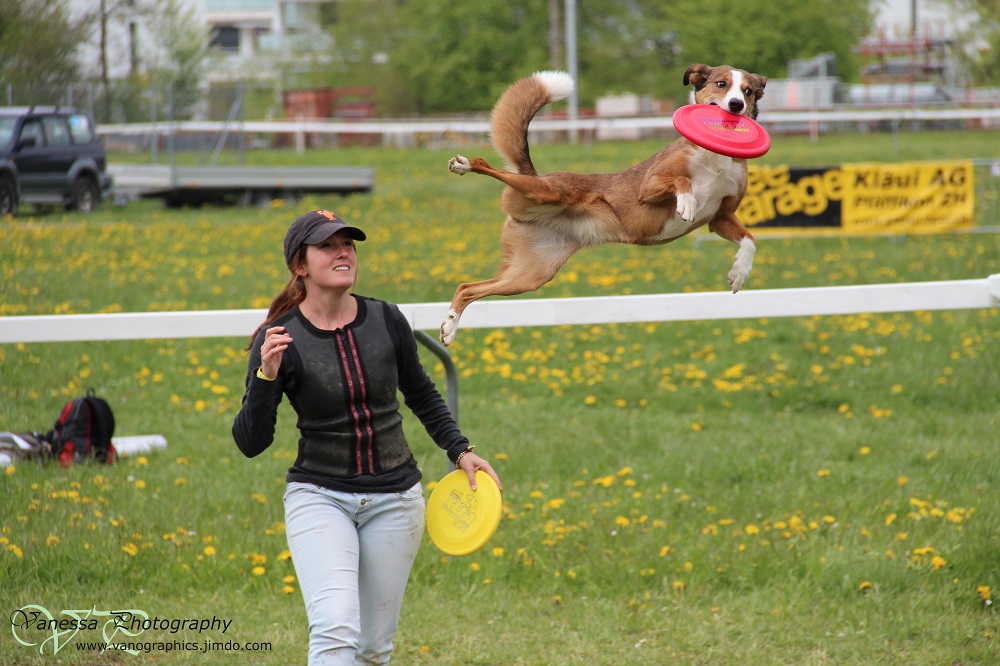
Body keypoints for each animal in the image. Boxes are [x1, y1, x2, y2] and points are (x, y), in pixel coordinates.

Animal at [438, 64, 764, 344]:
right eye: (721, 84)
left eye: (748, 91)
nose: (736, 105)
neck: (715, 158)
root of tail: (535, 177)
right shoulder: (649, 187)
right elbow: (682, 181)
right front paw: (686, 204)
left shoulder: (721, 216)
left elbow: (750, 240)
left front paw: (739, 273)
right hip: (546, 194)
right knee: (486, 166)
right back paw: (465, 164)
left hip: (530, 274)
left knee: (467, 288)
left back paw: (449, 327)